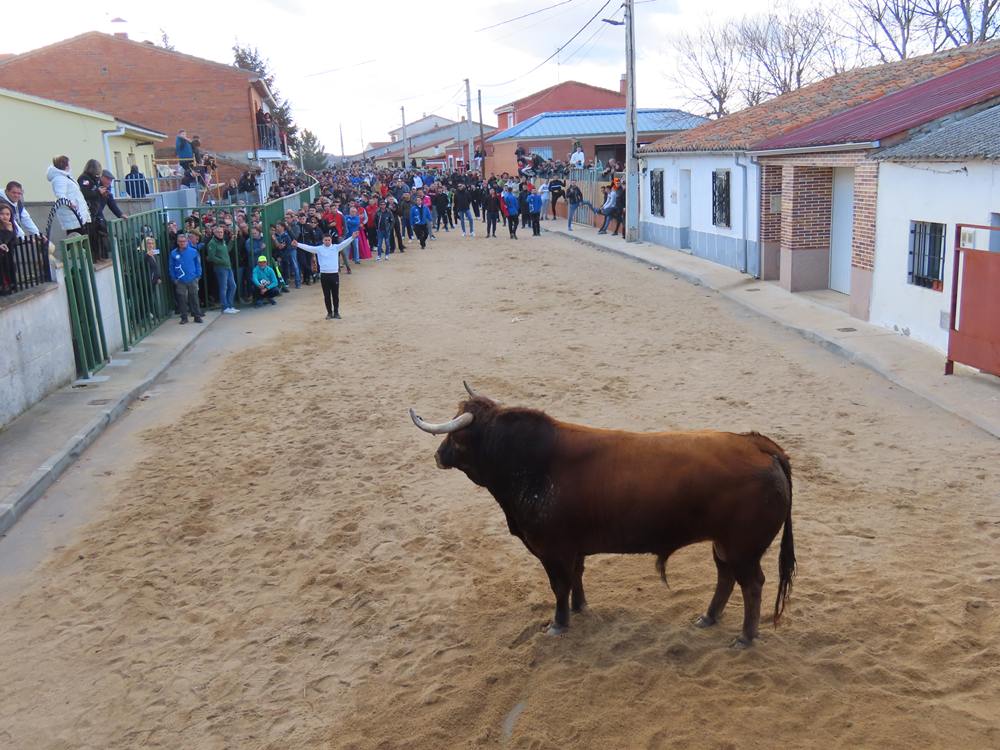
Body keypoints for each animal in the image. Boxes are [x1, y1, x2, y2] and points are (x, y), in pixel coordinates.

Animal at [408, 384, 796, 648]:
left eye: (458, 438)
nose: (439, 456)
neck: (530, 463)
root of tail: (760, 446)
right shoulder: (573, 548)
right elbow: (576, 578)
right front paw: (580, 608)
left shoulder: (552, 550)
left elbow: (559, 585)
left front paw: (559, 623)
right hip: (724, 544)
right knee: (725, 576)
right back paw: (708, 618)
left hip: (743, 548)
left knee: (752, 585)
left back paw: (745, 638)